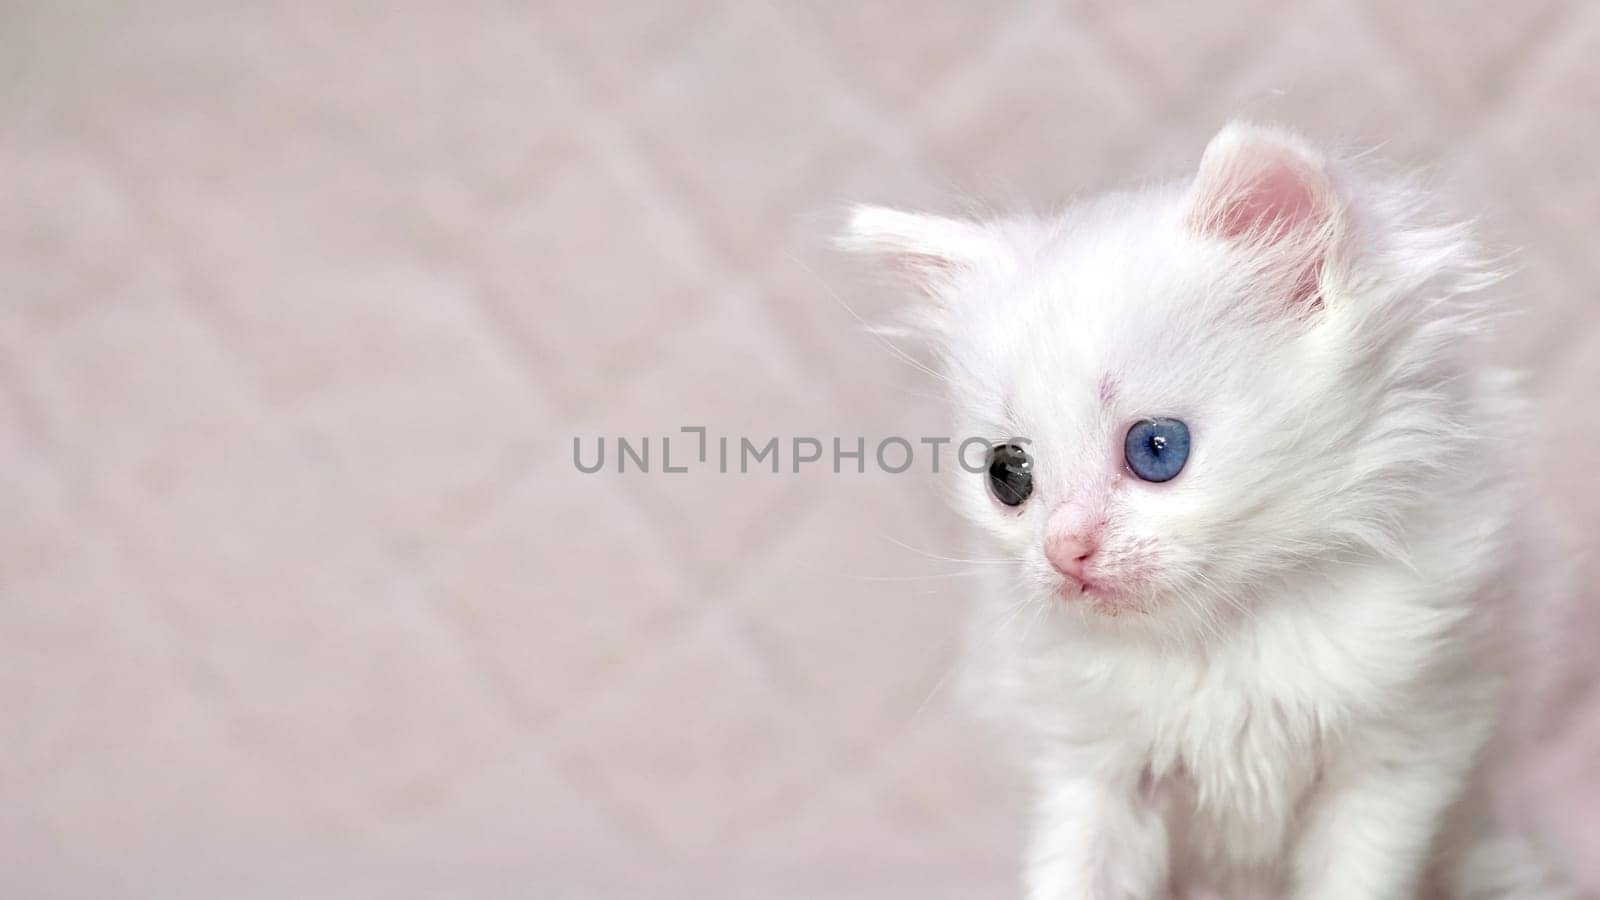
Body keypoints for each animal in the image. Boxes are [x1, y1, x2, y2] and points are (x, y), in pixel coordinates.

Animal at [844, 124, 1568, 896]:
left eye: (1157, 449)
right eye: (1007, 476)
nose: (1064, 550)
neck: (1223, 640)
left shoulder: (1401, 751)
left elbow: (1357, 873)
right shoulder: (1090, 768)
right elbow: (1074, 873)